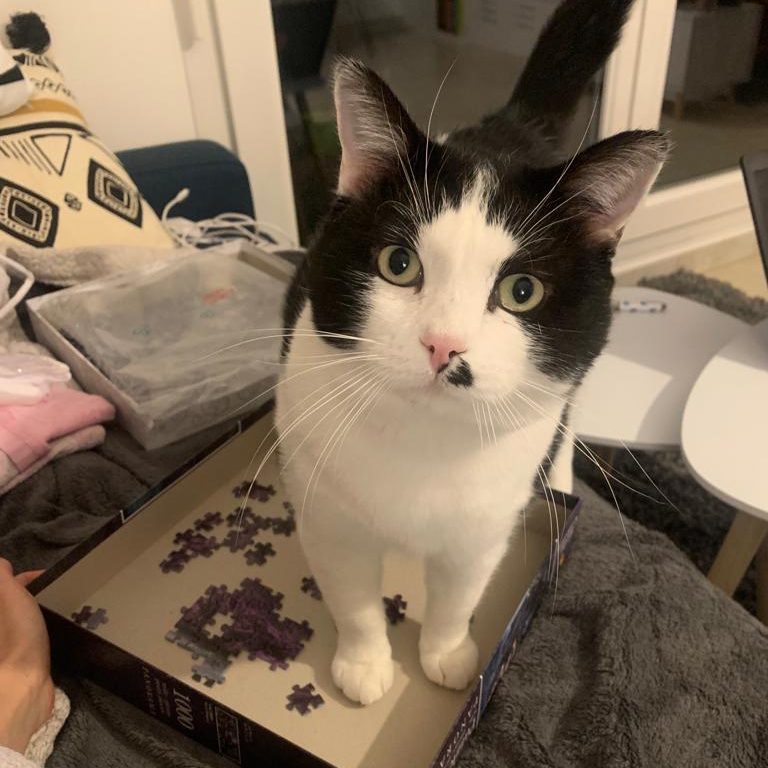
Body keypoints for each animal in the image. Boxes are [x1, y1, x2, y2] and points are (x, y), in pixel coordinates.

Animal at [275, 0, 668, 705]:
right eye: (398, 264)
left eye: (521, 291)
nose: (443, 343)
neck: (424, 444)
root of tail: (512, 126)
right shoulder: (327, 513)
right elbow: (351, 594)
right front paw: (365, 663)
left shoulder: (483, 528)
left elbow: (459, 596)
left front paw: (448, 656)